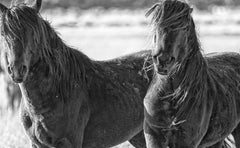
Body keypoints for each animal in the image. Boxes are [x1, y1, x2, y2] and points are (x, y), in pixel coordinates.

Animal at [0, 0, 153, 147]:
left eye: (33, 32)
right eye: (3, 33)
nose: (17, 70)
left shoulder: (69, 142)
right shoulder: (36, 144)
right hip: (139, 136)